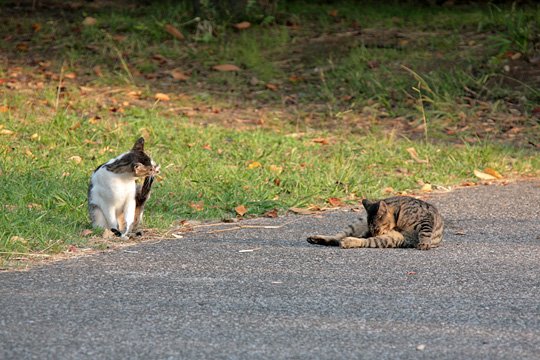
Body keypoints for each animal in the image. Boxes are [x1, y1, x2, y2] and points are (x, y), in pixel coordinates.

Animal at [306, 194, 446, 250]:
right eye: (373, 229)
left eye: (377, 229)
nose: (372, 233)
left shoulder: (425, 219)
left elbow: (425, 232)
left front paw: (424, 243)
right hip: (357, 223)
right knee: (338, 236)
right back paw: (316, 238)